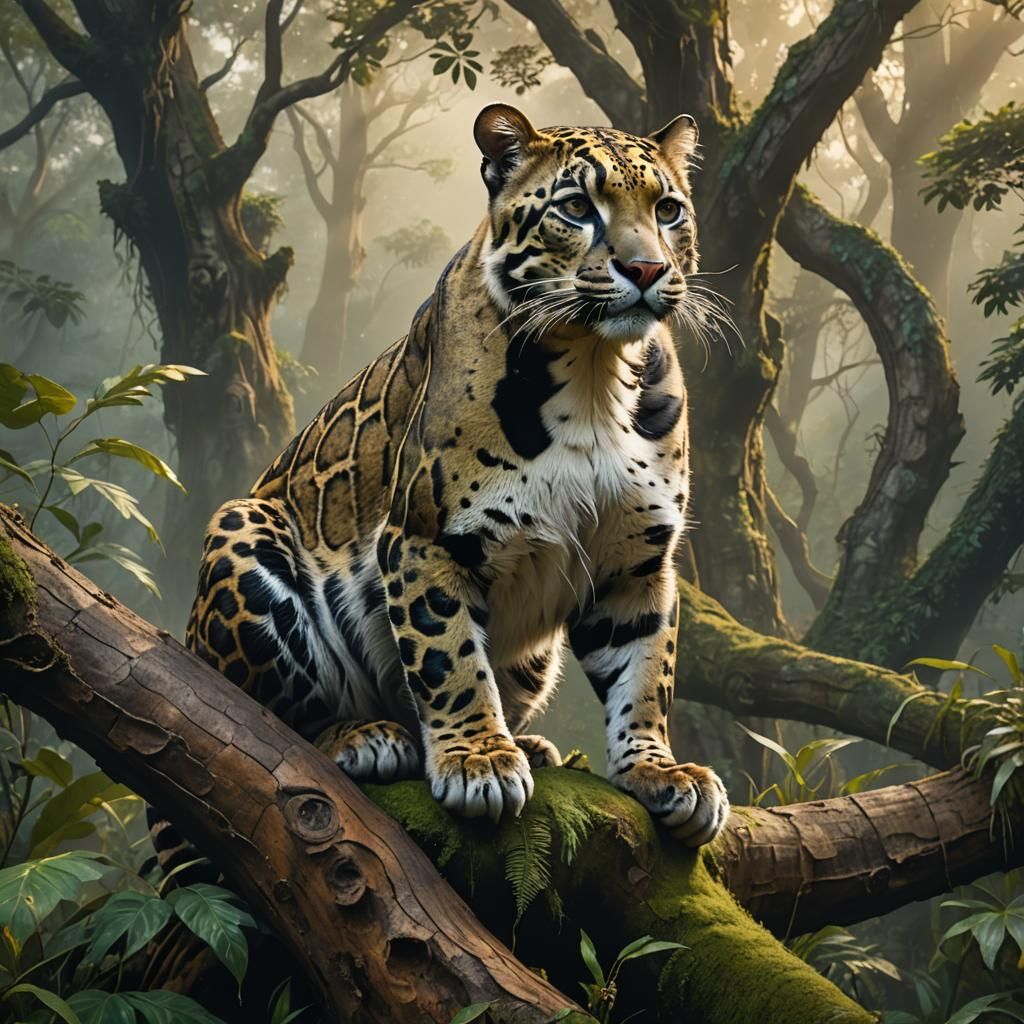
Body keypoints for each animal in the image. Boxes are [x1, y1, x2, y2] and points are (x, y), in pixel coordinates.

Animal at [172, 103, 729, 852]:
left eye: (668, 210)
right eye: (577, 207)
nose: (646, 267)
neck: (594, 370)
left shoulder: (637, 561)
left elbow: (645, 672)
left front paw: (657, 769)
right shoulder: (425, 541)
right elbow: (451, 658)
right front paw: (477, 761)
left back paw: (534, 748)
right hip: (242, 533)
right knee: (267, 724)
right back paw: (366, 737)